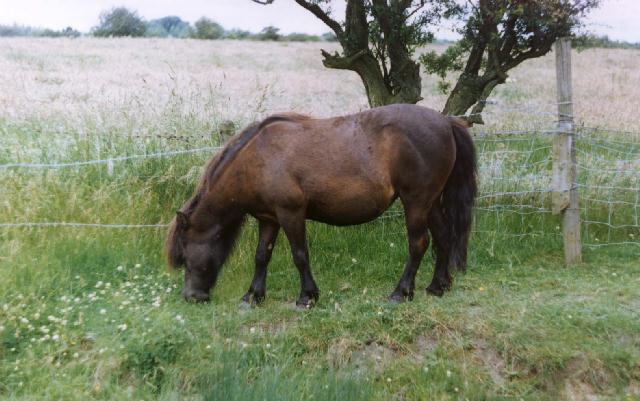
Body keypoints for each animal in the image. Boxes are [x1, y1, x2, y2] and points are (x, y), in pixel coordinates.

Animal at [165, 104, 476, 306]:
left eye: (185, 256)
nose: (191, 297)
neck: (258, 157)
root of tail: (446, 121)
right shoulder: (269, 218)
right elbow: (261, 256)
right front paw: (253, 296)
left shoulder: (291, 214)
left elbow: (300, 255)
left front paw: (307, 296)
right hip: (431, 202)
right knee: (443, 238)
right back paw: (437, 286)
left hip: (416, 202)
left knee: (418, 244)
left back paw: (401, 292)